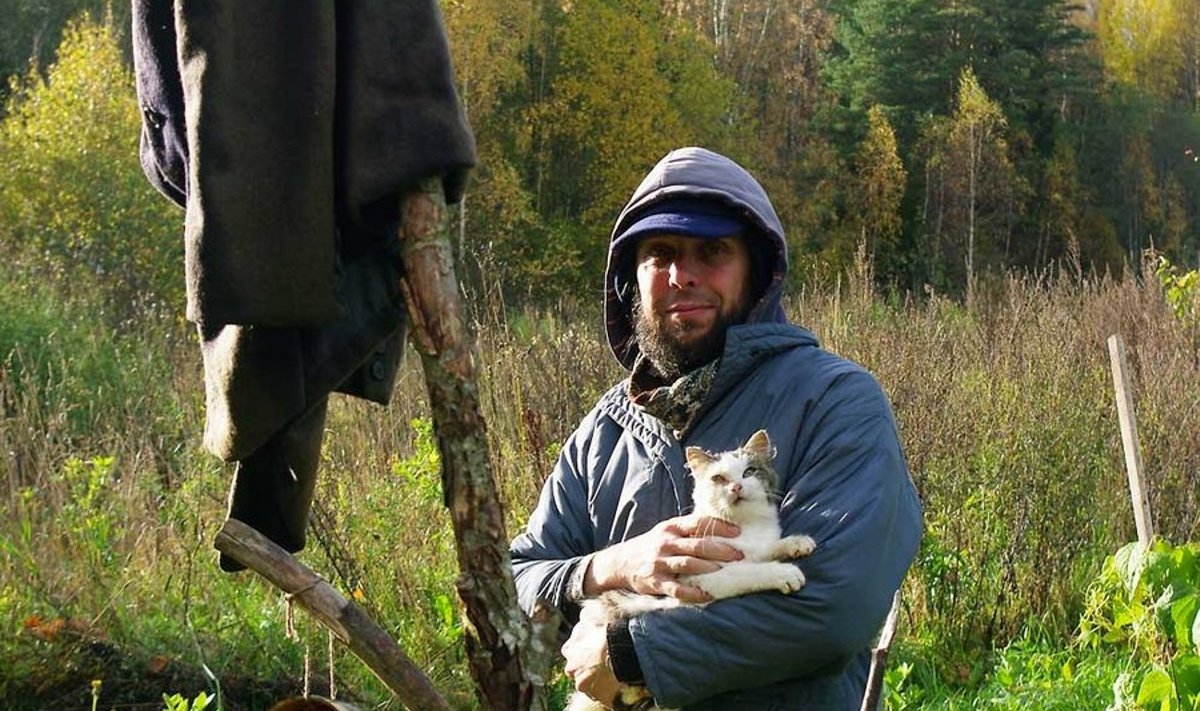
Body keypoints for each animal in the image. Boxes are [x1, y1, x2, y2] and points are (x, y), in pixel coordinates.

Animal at [561, 427, 816, 711]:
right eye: (718, 478)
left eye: (749, 471)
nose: (736, 487)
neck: (744, 526)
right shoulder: (701, 579)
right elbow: (747, 571)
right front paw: (783, 572)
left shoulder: (756, 546)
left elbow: (765, 550)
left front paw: (794, 543)